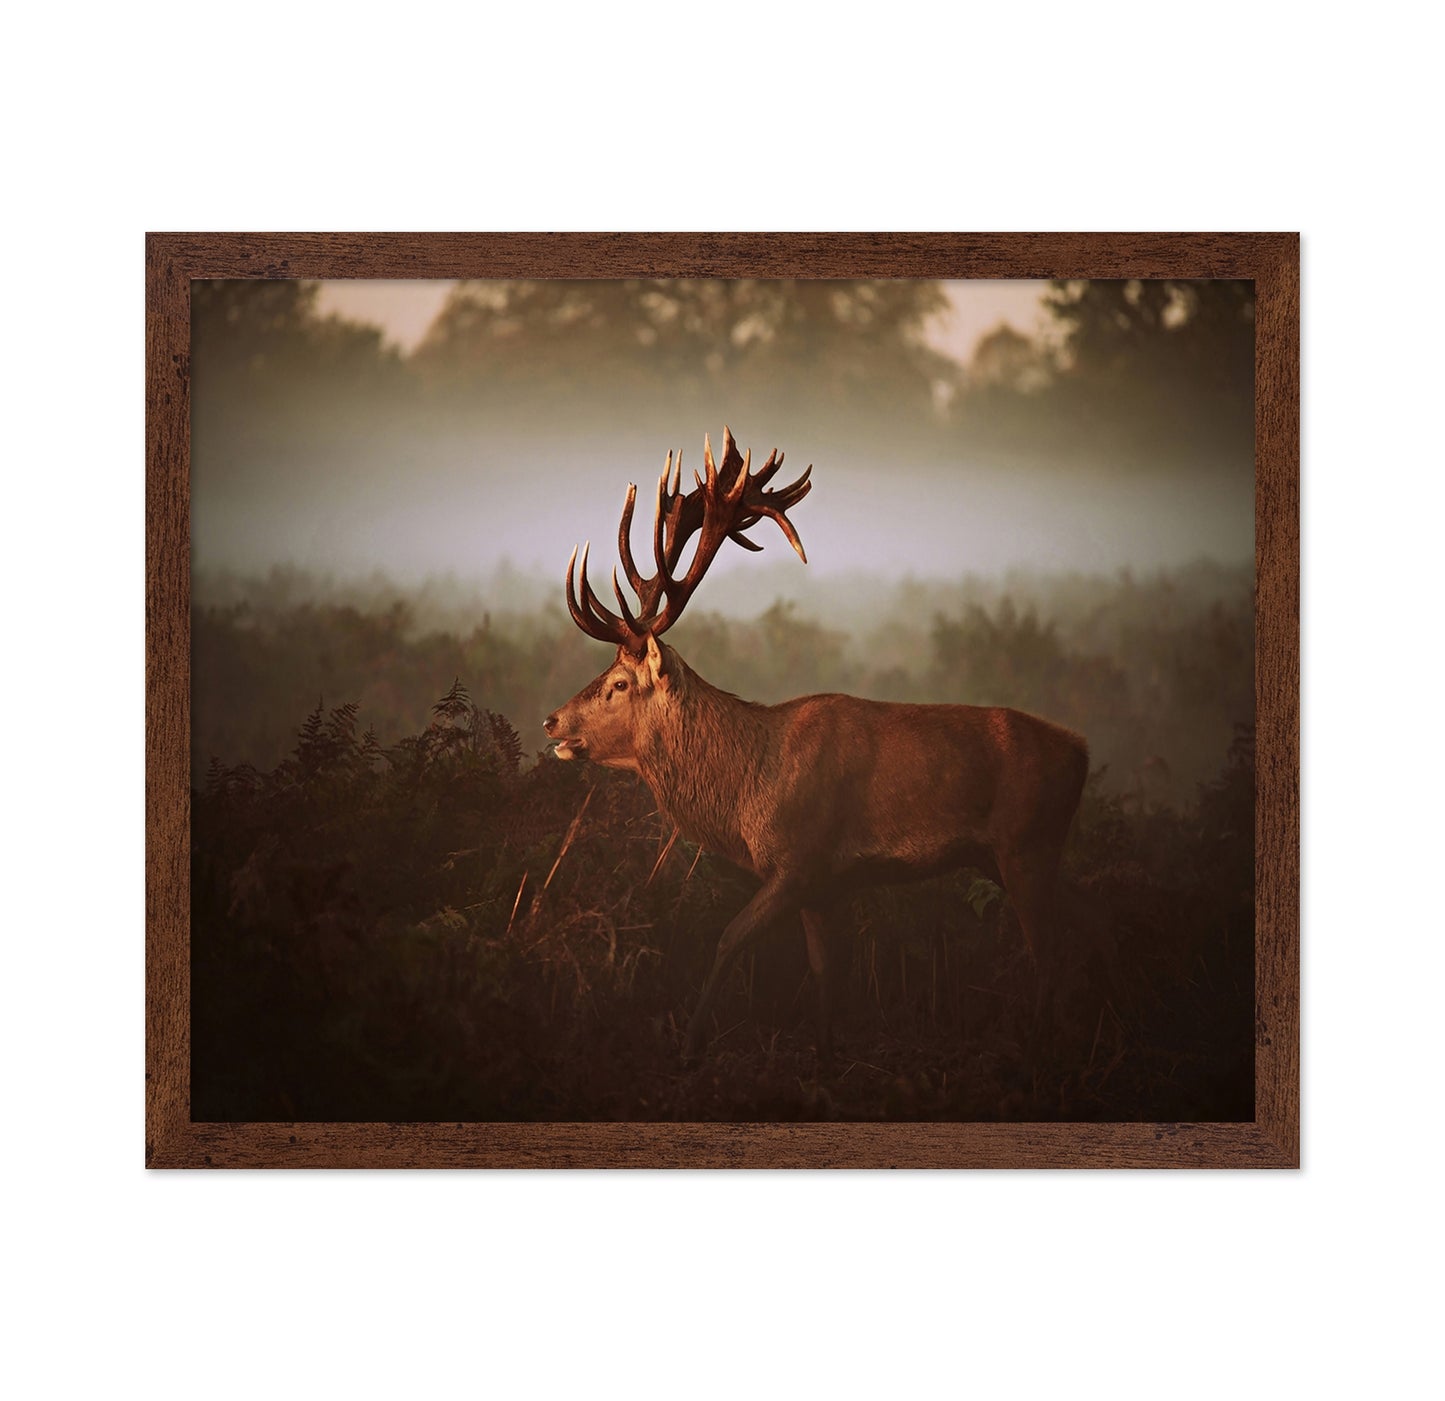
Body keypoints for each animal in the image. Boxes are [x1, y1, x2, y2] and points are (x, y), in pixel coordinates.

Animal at [543, 428, 1089, 1068]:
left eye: (619, 683)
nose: (552, 721)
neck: (747, 790)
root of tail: (1081, 751)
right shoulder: (826, 888)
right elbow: (827, 974)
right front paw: (827, 1055)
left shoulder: (798, 861)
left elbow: (728, 939)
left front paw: (691, 1046)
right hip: (1013, 856)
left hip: (1027, 844)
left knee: (1051, 954)